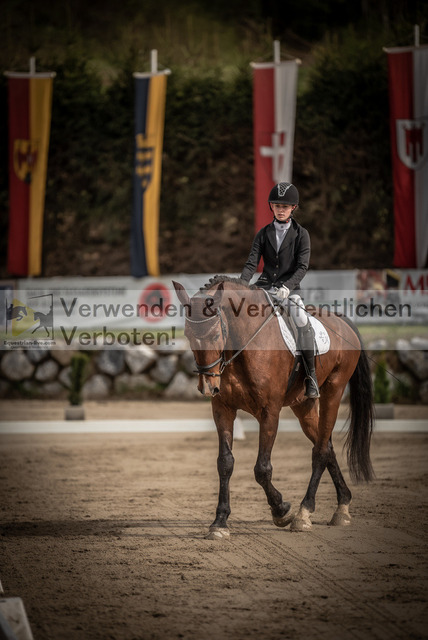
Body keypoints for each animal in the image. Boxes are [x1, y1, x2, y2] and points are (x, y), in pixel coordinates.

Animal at [173, 275, 374, 539]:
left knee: (320, 451)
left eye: (216, 334)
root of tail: (343, 320)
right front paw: (219, 522)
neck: (242, 345)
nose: (208, 387)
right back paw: (342, 506)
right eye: (187, 334)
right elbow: (225, 463)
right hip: (304, 405)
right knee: (326, 446)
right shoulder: (223, 409)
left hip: (334, 390)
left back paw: (304, 513)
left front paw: (281, 510)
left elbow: (262, 468)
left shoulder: (270, 412)